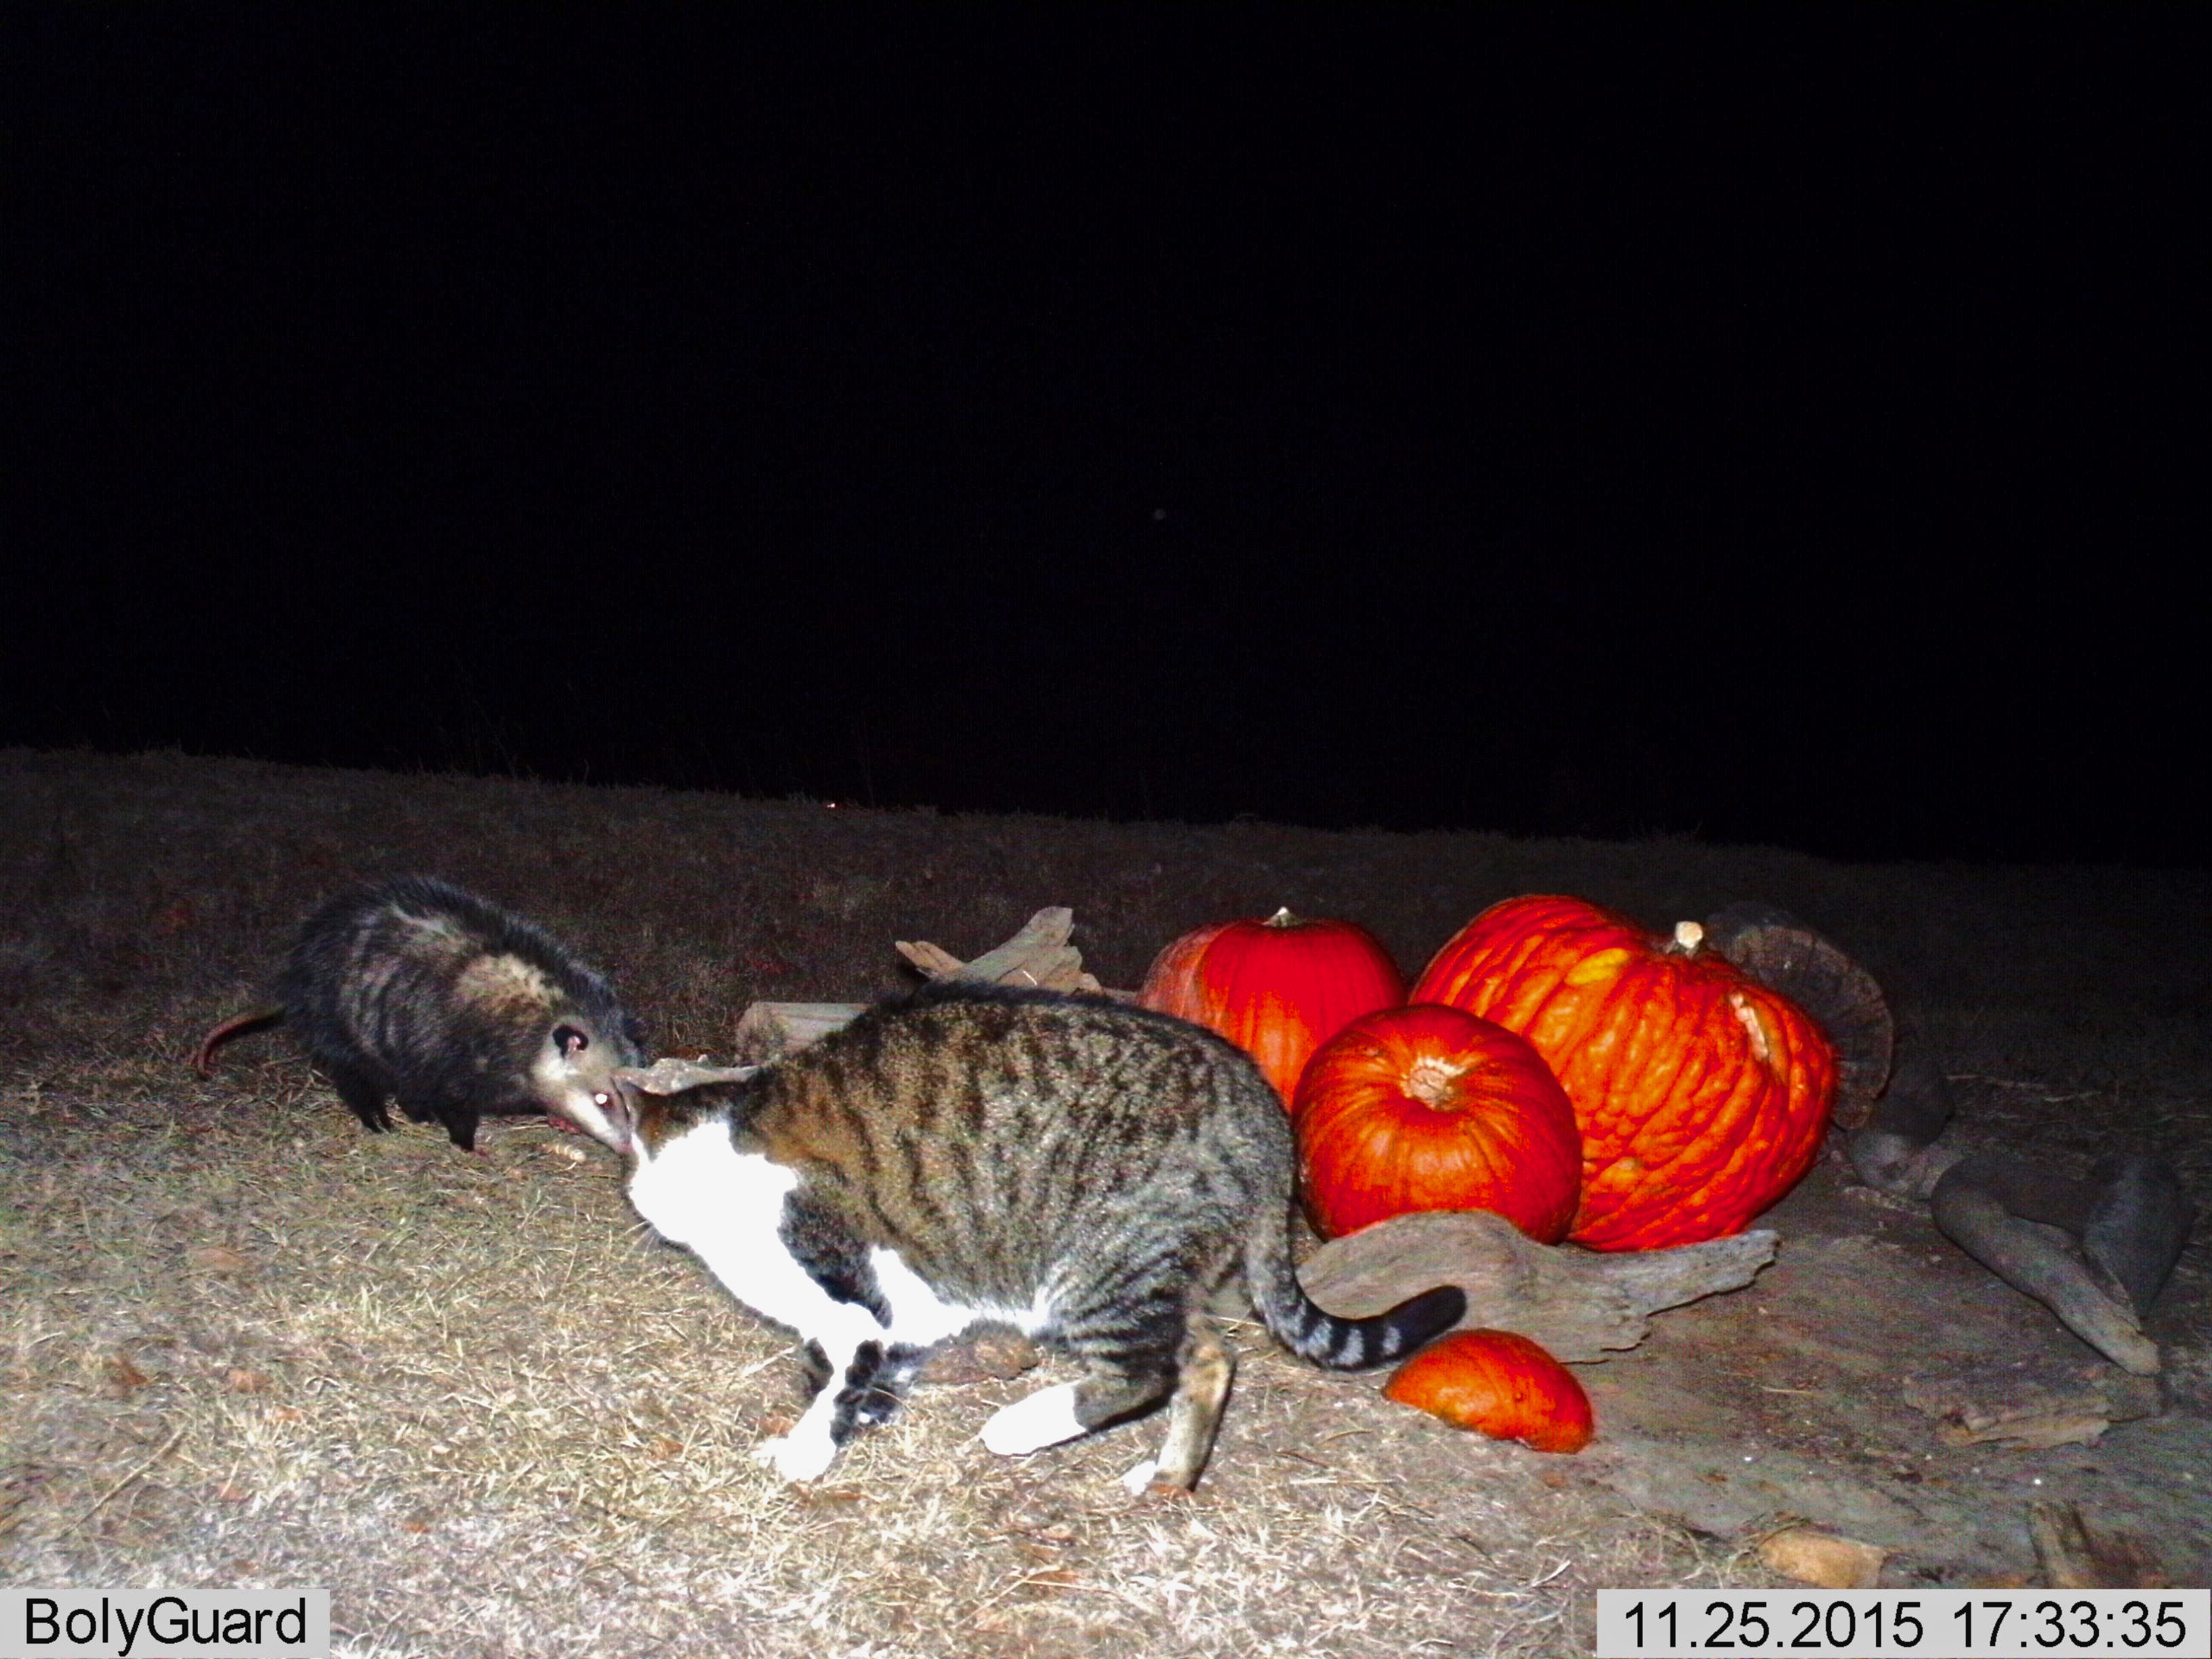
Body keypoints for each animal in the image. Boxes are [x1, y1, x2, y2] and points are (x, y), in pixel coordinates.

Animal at [601, 986, 1469, 1495]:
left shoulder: (842, 1288)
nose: (641, 1209)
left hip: (1097, 1270)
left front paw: (811, 1446)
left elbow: (836, 1365)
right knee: (1211, 1362)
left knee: (1143, 1374)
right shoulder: (914, 1299)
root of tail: (1265, 1112)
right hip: (1158, 1272)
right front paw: (872, 1409)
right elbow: (876, 1358)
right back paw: (1170, 1476)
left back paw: (1024, 1426)